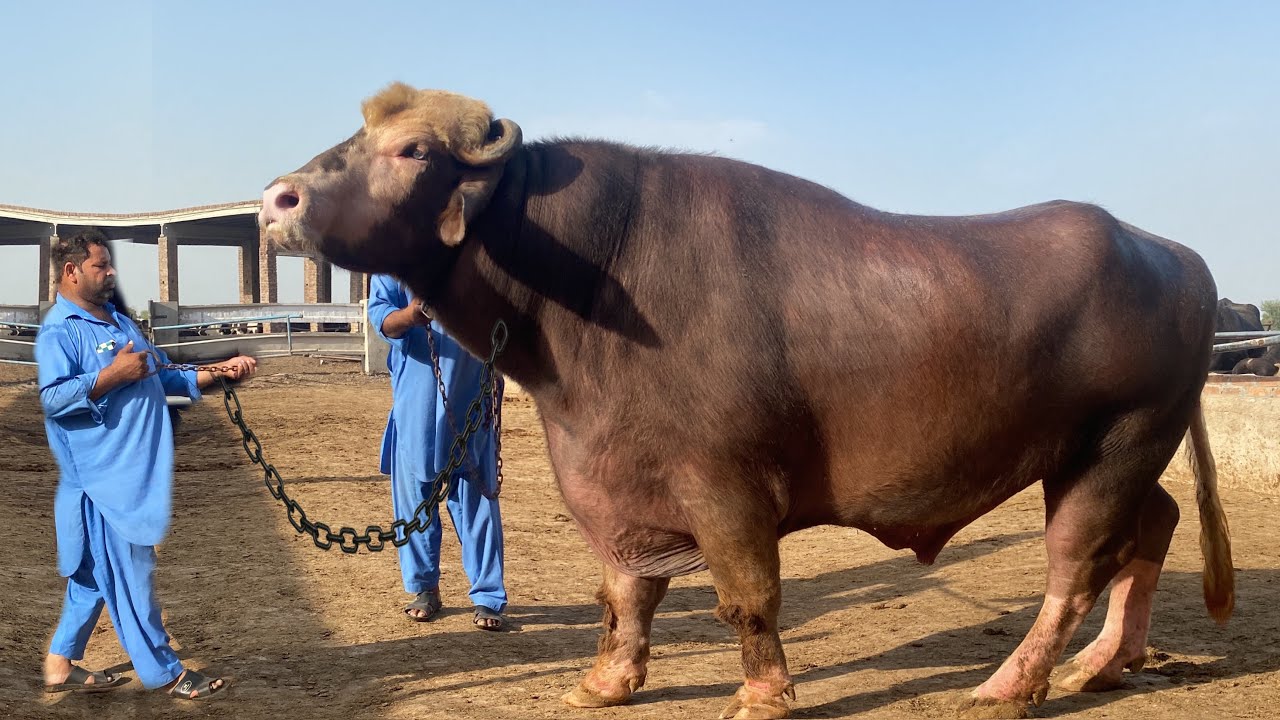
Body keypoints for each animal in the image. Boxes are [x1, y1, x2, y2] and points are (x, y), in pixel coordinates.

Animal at [259, 83, 1234, 720]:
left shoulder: (725, 488)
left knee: (1076, 570)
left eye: (414, 150)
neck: (596, 284)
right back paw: (1107, 665)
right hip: (1119, 454)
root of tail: (1176, 255)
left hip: (1112, 448)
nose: (277, 198)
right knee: (1154, 528)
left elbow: (746, 598)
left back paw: (1010, 686)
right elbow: (625, 593)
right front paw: (605, 682)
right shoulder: (621, 486)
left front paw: (764, 695)